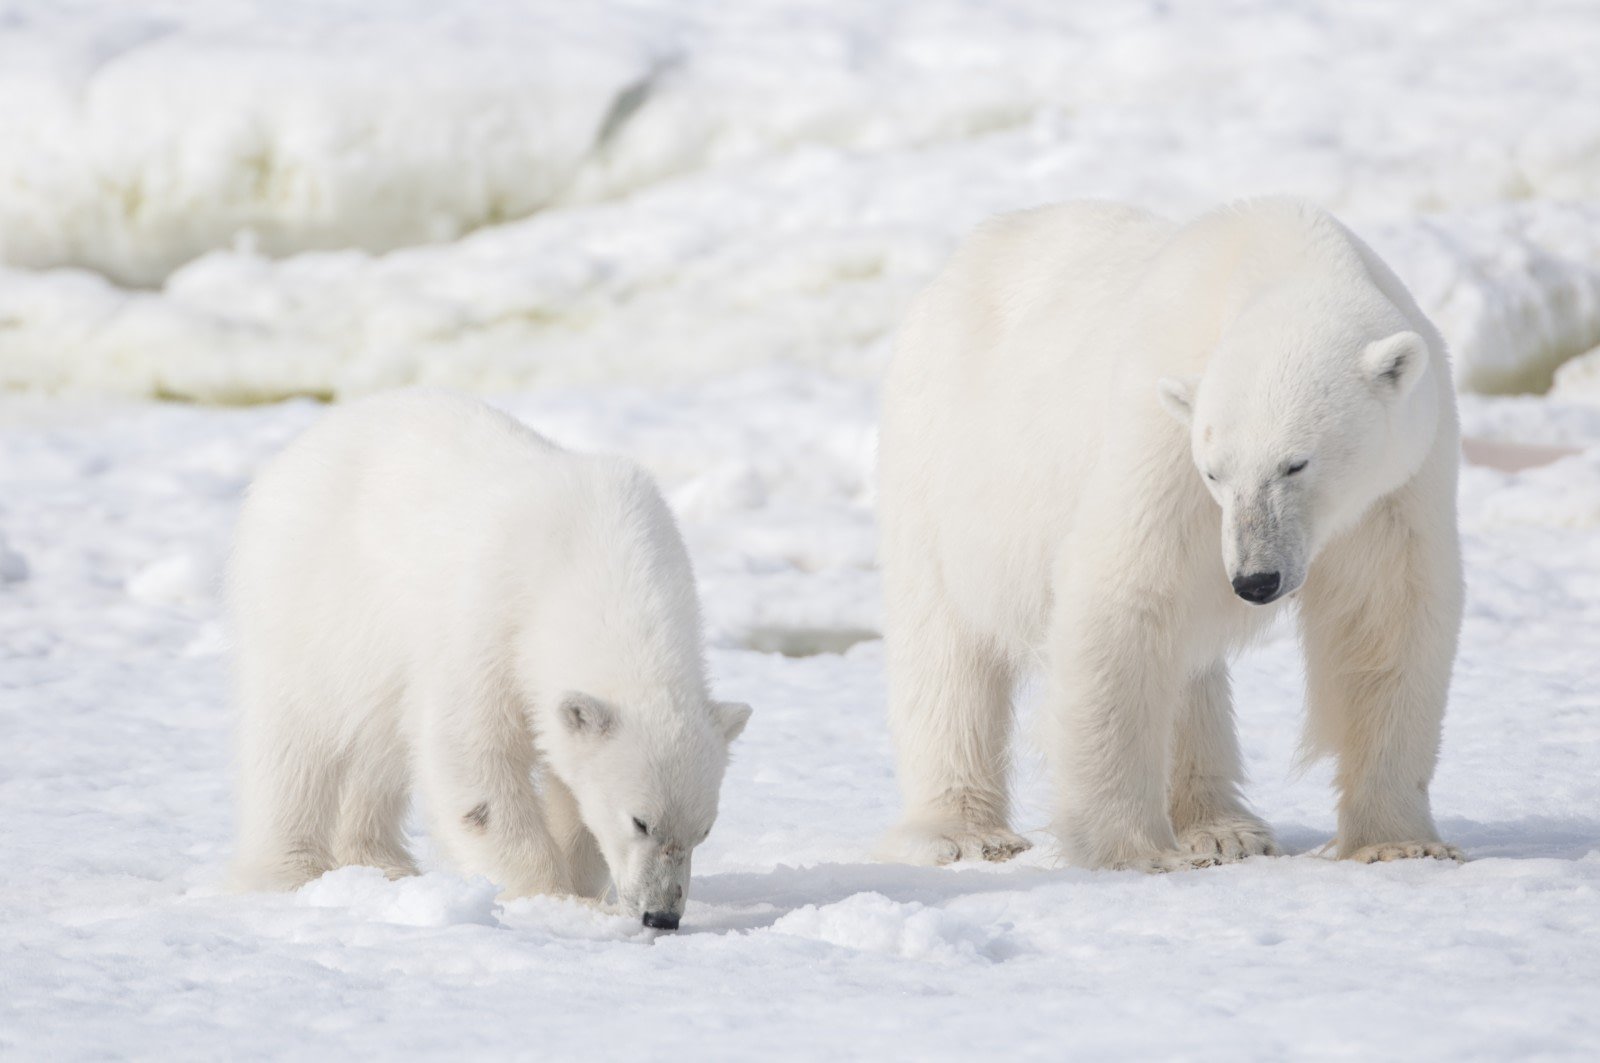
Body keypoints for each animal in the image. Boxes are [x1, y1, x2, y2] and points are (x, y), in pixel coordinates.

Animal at [230, 392, 748, 928]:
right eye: (640, 821)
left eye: (704, 831)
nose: (661, 916)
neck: (598, 558)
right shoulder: (491, 618)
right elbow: (472, 756)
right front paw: (548, 895)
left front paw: (580, 883)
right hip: (308, 596)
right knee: (294, 736)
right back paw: (292, 871)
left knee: (378, 746)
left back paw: (382, 864)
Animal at [883, 195, 1465, 870]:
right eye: (1215, 471)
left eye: (1296, 463)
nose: (1256, 580)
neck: (1274, 257)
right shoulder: (1159, 433)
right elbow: (1124, 594)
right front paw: (1133, 850)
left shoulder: (1404, 475)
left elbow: (1388, 613)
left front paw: (1400, 842)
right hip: (940, 456)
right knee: (946, 644)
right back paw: (961, 832)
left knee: (1189, 670)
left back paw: (1223, 828)